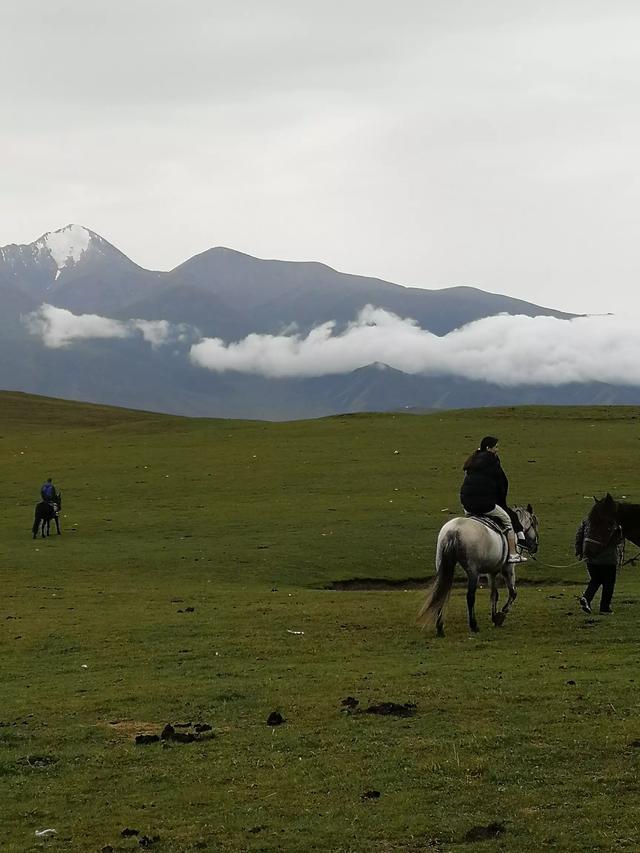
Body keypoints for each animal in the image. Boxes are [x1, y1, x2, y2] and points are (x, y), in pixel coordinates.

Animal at [418, 502, 536, 636]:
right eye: (534, 523)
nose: (535, 546)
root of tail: (455, 530)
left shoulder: (491, 572)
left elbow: (494, 594)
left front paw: (495, 617)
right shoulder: (508, 568)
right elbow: (512, 593)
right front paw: (501, 615)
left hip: (441, 565)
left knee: (441, 592)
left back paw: (439, 628)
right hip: (473, 572)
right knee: (470, 596)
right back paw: (473, 625)